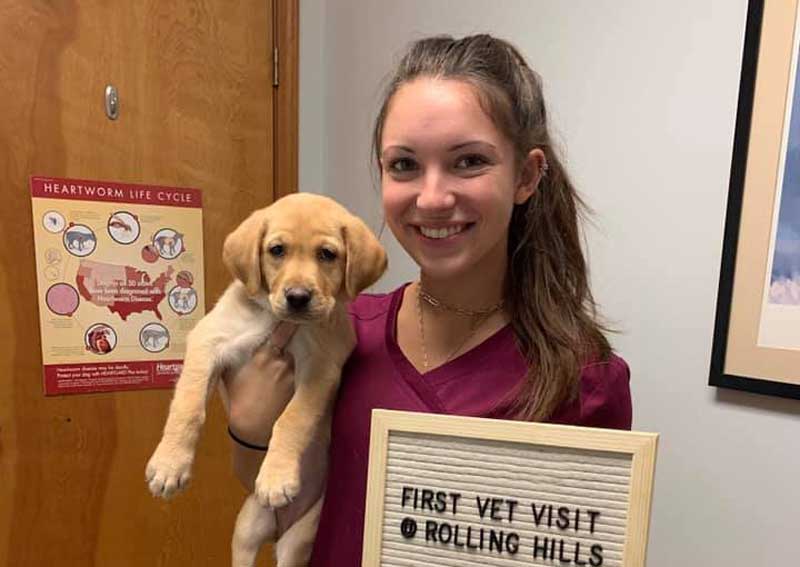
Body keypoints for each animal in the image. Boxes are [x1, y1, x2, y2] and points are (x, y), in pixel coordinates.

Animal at [148, 193, 390, 564]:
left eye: (327, 254)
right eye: (277, 250)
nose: (298, 297)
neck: (272, 318)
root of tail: (277, 529)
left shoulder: (321, 367)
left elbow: (292, 419)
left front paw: (276, 477)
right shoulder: (207, 341)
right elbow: (187, 407)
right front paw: (170, 463)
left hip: (299, 538)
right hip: (246, 530)